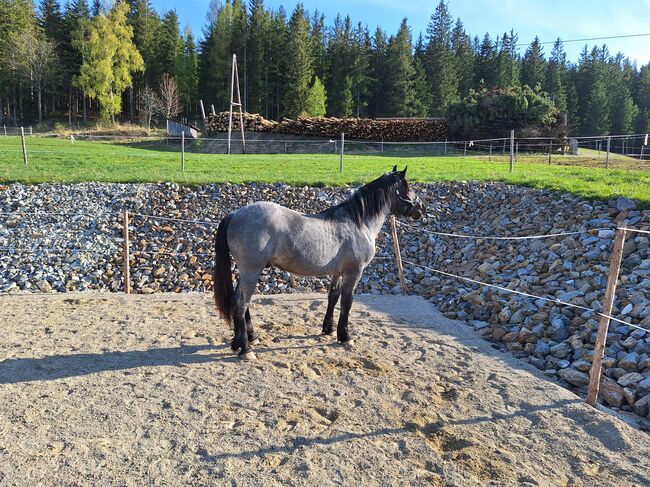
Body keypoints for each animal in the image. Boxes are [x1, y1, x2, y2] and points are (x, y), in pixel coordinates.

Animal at [214, 166, 426, 360]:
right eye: (407, 186)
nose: (422, 208)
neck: (358, 223)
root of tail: (234, 214)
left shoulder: (338, 272)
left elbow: (333, 297)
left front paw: (329, 329)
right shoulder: (354, 271)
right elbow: (347, 302)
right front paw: (345, 336)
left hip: (247, 271)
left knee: (238, 301)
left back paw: (246, 339)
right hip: (251, 270)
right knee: (241, 303)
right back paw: (246, 348)